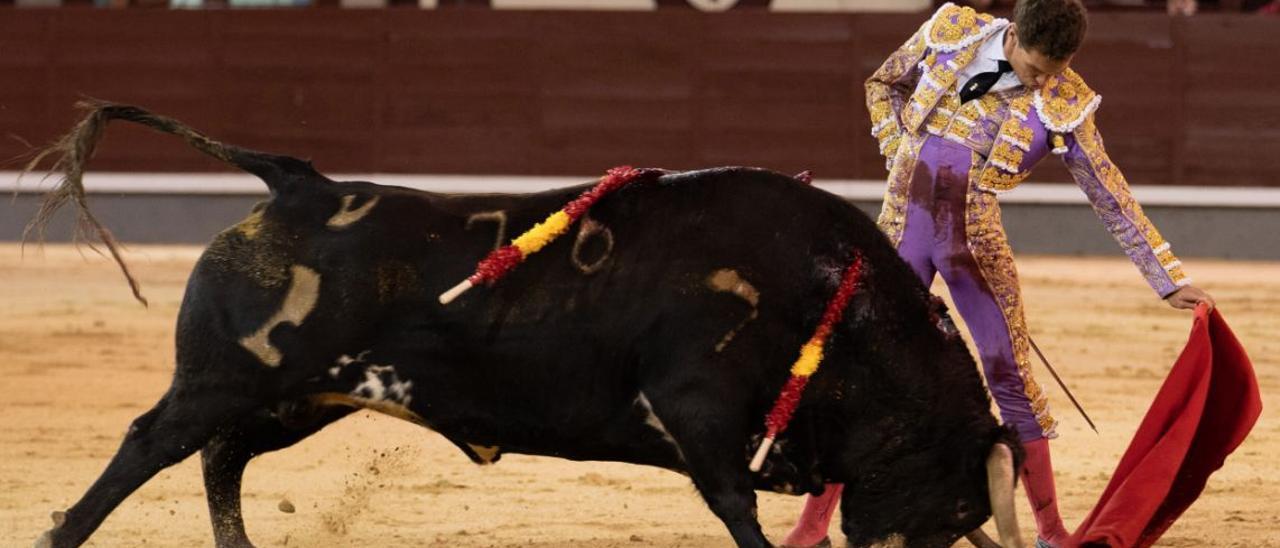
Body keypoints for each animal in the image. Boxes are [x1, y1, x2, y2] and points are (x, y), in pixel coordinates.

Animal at [30, 101, 1024, 548]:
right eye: (954, 501)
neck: (831, 303)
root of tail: (299, 183)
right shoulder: (697, 406)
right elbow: (735, 507)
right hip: (225, 378)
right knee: (150, 443)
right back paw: (59, 534)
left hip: (301, 397)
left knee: (221, 458)